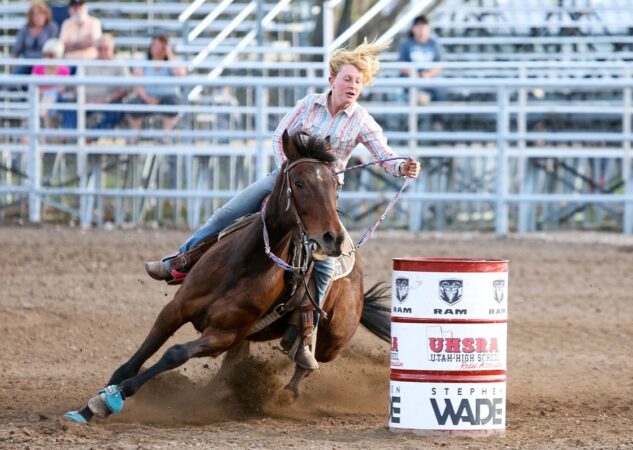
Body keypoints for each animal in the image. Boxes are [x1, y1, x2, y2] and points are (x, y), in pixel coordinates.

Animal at [65, 129, 390, 422]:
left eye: (335, 186)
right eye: (299, 183)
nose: (332, 238)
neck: (243, 264)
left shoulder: (223, 334)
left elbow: (174, 354)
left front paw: (110, 400)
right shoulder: (175, 310)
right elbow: (140, 356)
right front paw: (90, 404)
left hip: (331, 341)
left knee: (305, 363)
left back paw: (286, 392)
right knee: (233, 367)